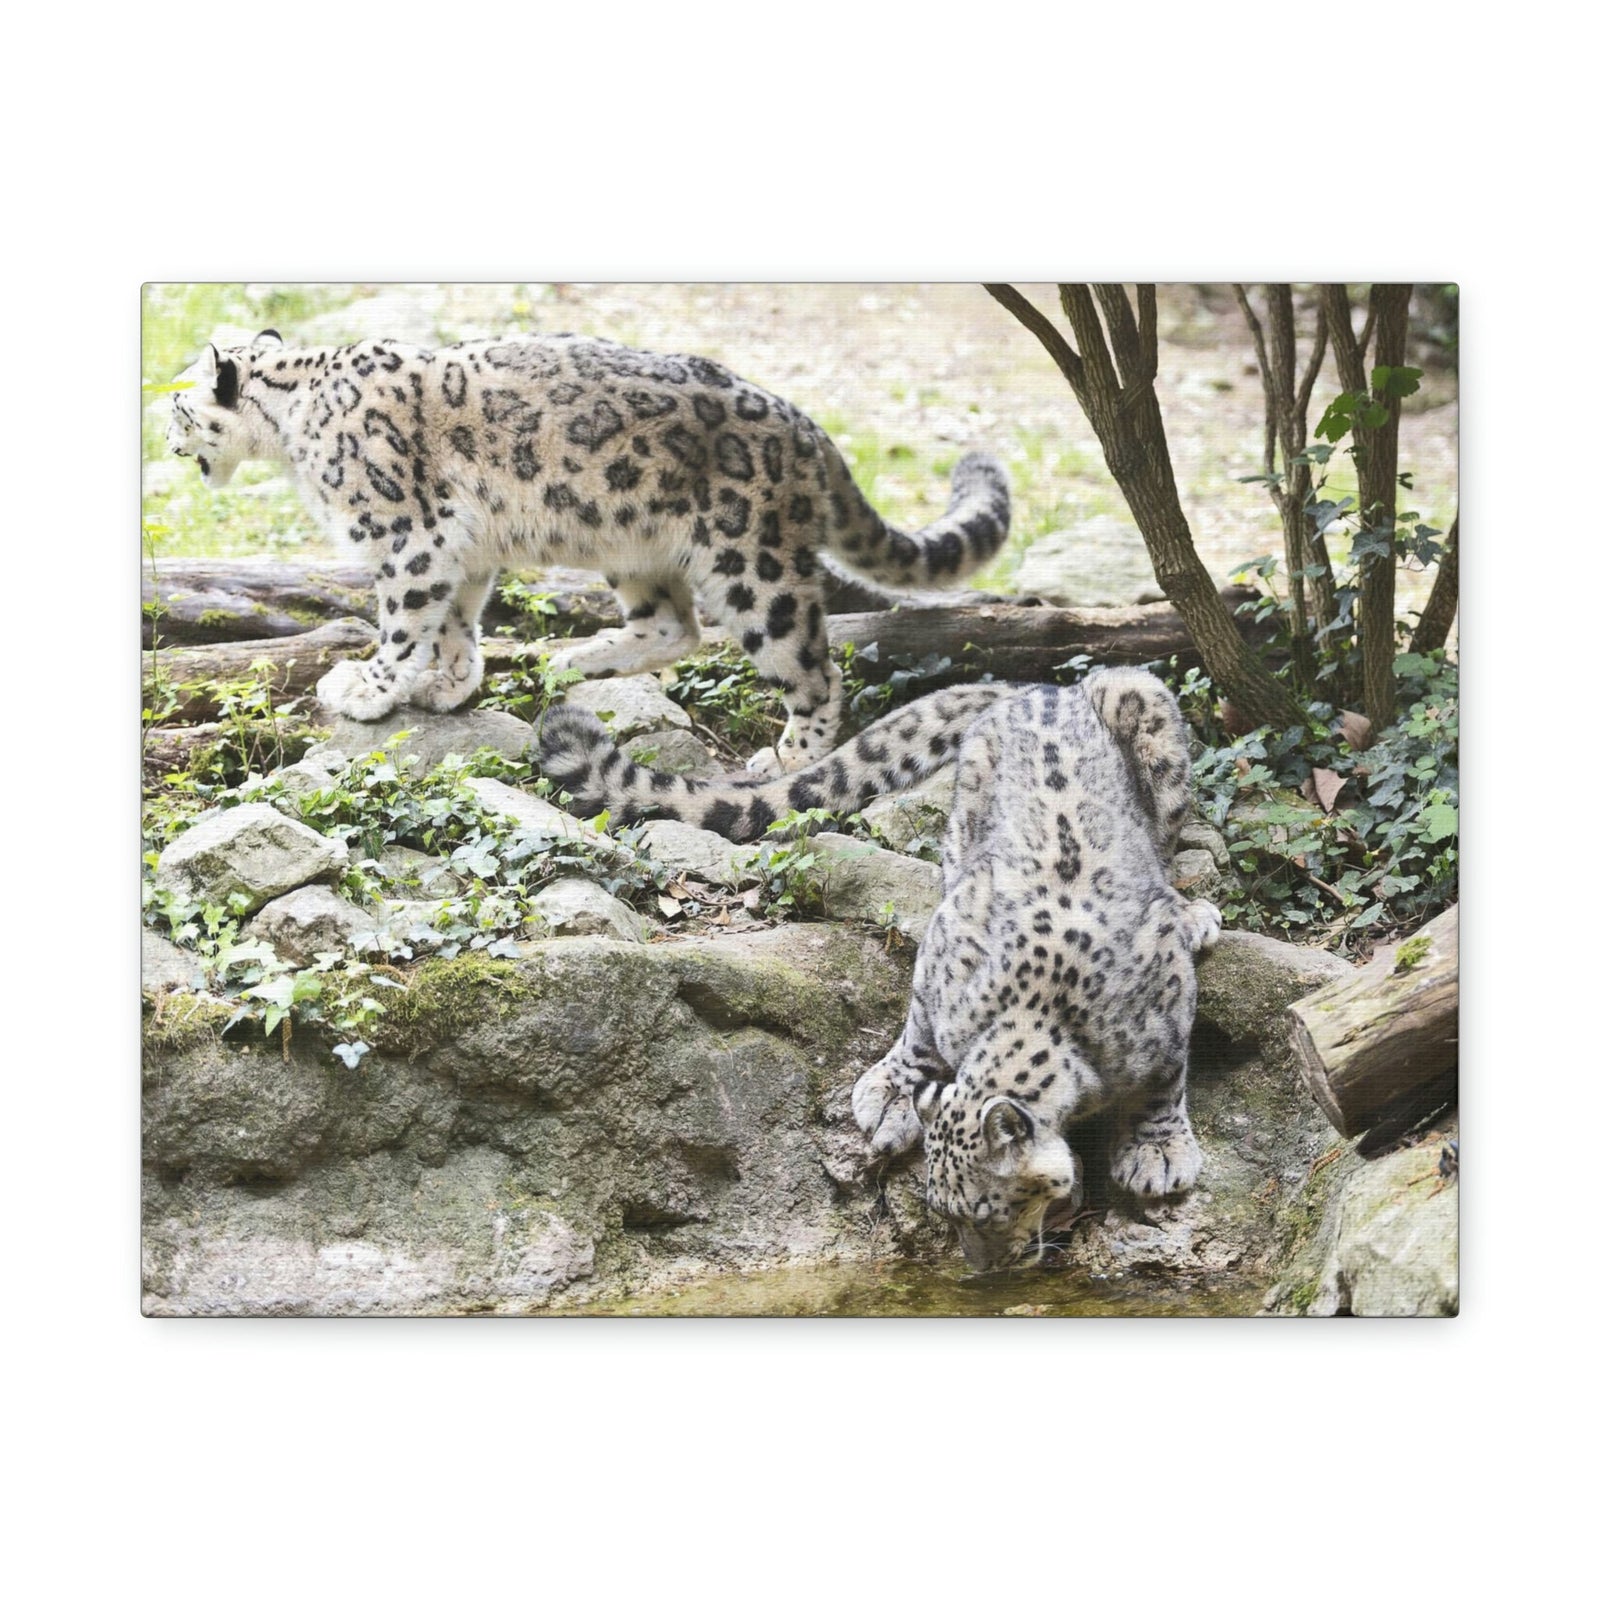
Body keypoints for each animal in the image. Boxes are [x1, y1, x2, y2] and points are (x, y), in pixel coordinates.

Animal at [165, 328, 1011, 773]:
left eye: (177, 405)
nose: (166, 440)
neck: (291, 429)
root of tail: (807, 428)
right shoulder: (458, 549)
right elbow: (456, 620)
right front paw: (448, 684)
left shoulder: (407, 536)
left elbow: (404, 620)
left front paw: (367, 687)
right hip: (634, 544)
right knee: (674, 627)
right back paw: (581, 658)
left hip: (753, 565)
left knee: (812, 664)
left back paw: (791, 754)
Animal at [542, 666, 1219, 1273]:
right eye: (943, 1210)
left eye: (989, 1210)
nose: (980, 1269)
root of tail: (1043, 688)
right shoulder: (947, 953)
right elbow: (917, 1031)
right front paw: (893, 1092)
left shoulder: (1164, 1005)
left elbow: (1165, 1081)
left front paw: (1157, 1152)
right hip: (967, 814)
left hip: (1147, 711)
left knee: (1165, 844)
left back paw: (1192, 912)